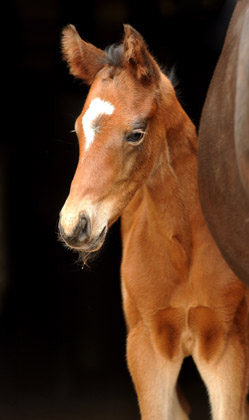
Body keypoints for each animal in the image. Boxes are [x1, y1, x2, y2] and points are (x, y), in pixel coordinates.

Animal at [58, 24, 249, 418]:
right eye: (78, 130)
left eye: (136, 132)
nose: (74, 225)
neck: (184, 248)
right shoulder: (146, 347)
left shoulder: (228, 344)